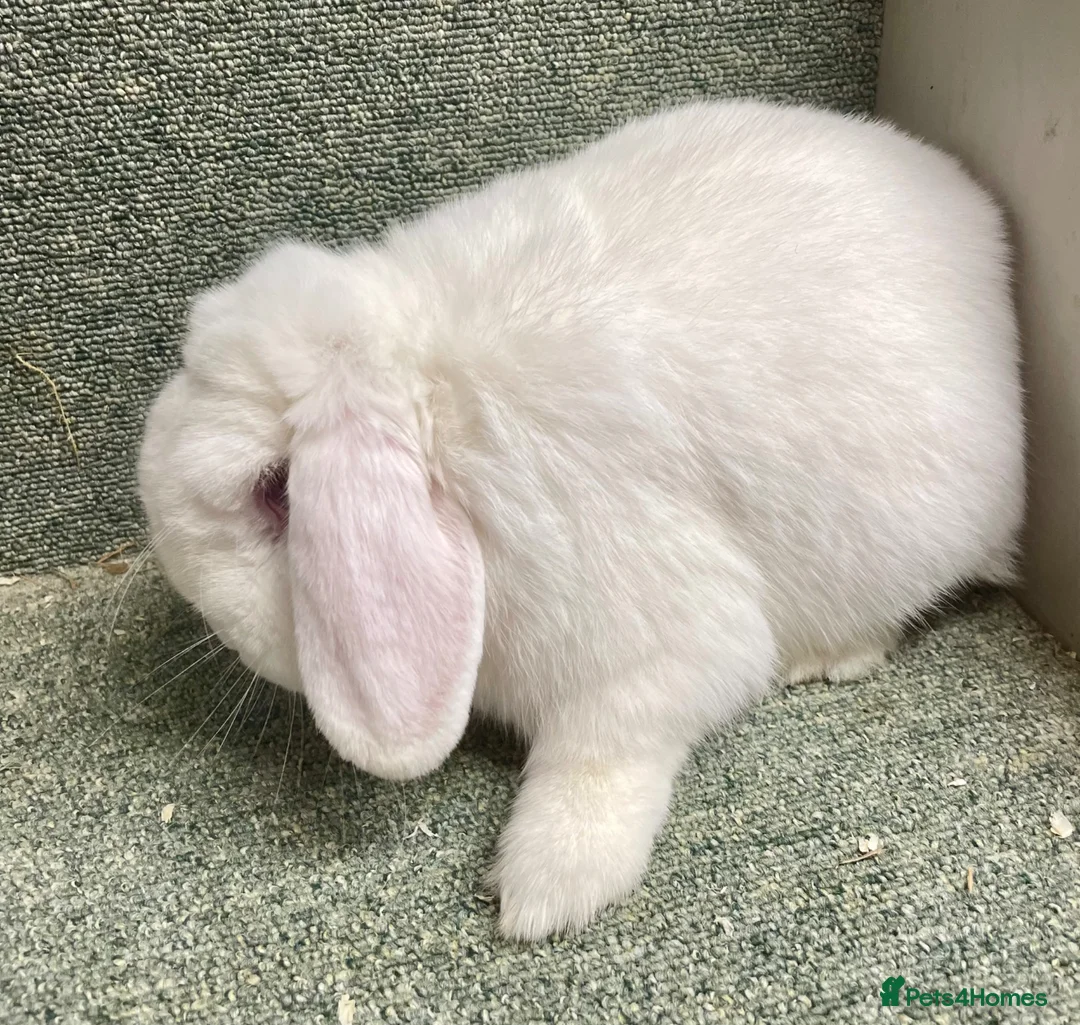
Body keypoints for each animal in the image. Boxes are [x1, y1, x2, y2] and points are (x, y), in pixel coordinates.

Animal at [138, 99, 1024, 941]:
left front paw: (542, 892)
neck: (447, 417)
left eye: (273, 491)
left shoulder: (654, 650)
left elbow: (600, 757)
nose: (169, 552)